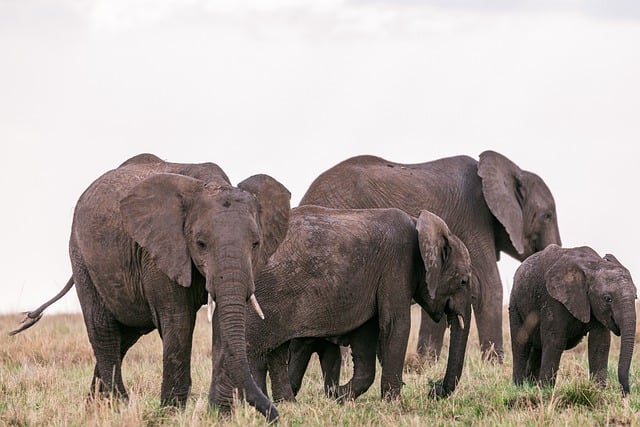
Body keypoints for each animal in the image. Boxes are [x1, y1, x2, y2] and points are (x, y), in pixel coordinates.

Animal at [9, 153, 290, 422]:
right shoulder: (159, 252)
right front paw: (171, 415)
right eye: (200, 243)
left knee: (123, 338)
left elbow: (223, 323)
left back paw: (94, 410)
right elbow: (178, 322)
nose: (275, 416)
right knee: (104, 332)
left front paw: (220, 416)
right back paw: (118, 408)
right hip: (82, 258)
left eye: (255, 244)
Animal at [248, 206, 472, 402]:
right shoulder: (397, 263)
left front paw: (338, 395)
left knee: (274, 350)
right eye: (463, 281)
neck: (419, 224)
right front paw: (393, 404)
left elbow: (366, 332)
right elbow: (396, 324)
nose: (433, 390)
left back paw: (284, 403)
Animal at [300, 151, 560, 362]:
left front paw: (426, 363)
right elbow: (487, 287)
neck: (511, 170)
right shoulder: (474, 220)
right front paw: (494, 365)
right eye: (547, 215)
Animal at [508, 244, 636, 394]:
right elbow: (555, 341)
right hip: (515, 302)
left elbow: (600, 343)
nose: (625, 394)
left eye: (635, 297)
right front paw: (546, 392)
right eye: (608, 299)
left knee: (537, 348)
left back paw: (531, 386)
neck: (594, 265)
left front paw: (598, 392)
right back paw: (519, 387)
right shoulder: (553, 299)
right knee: (521, 345)